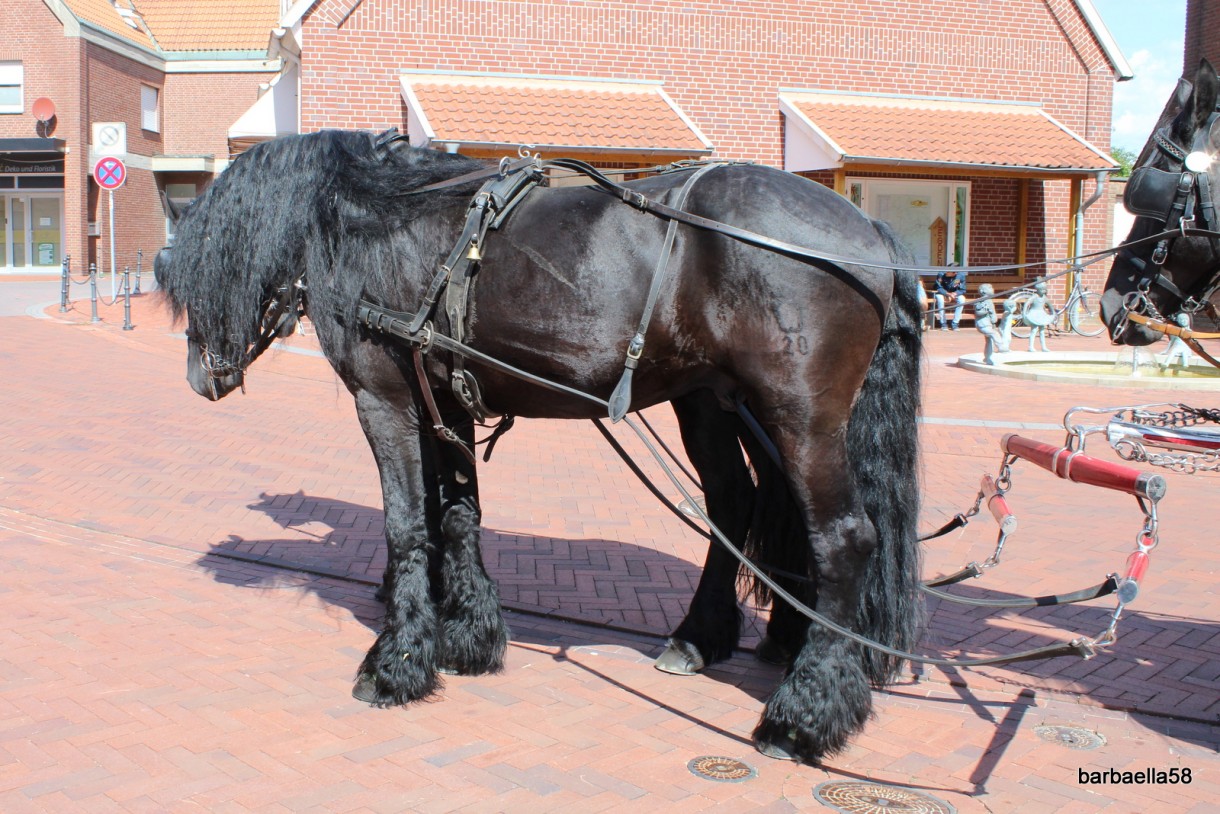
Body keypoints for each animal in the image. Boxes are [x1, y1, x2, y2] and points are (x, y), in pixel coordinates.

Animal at [159, 128, 922, 766]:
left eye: (189, 275)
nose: (200, 378)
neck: (383, 225)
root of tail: (869, 232)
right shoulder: (445, 402)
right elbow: (456, 515)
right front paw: (468, 636)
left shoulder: (386, 399)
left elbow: (407, 525)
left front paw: (397, 663)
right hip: (715, 400)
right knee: (741, 505)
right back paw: (713, 638)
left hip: (797, 414)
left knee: (842, 538)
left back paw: (802, 713)